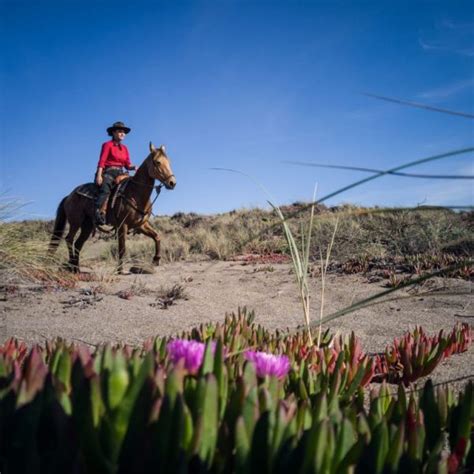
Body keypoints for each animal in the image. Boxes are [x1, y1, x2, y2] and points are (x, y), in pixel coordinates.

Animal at [49, 143, 177, 272]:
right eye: (157, 162)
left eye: (169, 162)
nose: (172, 183)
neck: (135, 192)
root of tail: (69, 196)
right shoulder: (123, 225)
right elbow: (122, 248)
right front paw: (119, 269)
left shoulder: (141, 225)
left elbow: (157, 236)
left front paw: (156, 259)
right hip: (76, 222)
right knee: (69, 239)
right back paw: (72, 266)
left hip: (87, 225)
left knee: (78, 244)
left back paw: (76, 268)